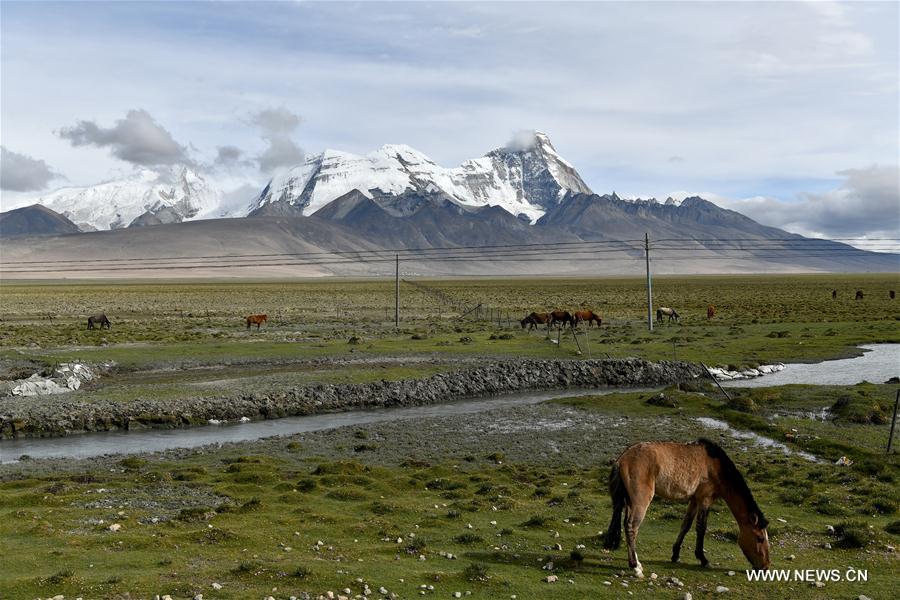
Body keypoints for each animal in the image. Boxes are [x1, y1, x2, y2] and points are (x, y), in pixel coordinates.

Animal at [600, 440, 768, 576]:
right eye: (759, 538)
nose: (766, 567)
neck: (716, 466)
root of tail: (622, 459)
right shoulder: (705, 499)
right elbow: (701, 528)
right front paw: (703, 559)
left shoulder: (694, 500)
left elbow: (685, 525)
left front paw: (675, 555)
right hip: (640, 501)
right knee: (631, 527)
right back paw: (635, 566)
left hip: (629, 501)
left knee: (626, 524)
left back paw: (637, 562)